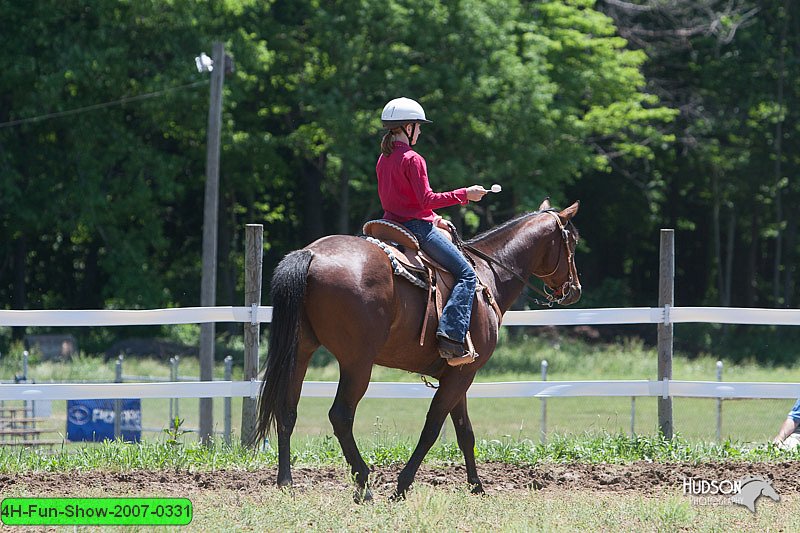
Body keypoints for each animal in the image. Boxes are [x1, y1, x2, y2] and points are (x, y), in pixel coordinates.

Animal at [256, 196, 580, 498]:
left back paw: (286, 482)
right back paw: (364, 484)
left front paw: (476, 486)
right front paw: (402, 485)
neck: (487, 276)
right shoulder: (462, 376)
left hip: (300, 353)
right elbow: (432, 429)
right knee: (340, 416)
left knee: (286, 410)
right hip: (357, 363)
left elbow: (464, 432)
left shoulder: (459, 373)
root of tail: (311, 254)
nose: (575, 290)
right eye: (573, 243)